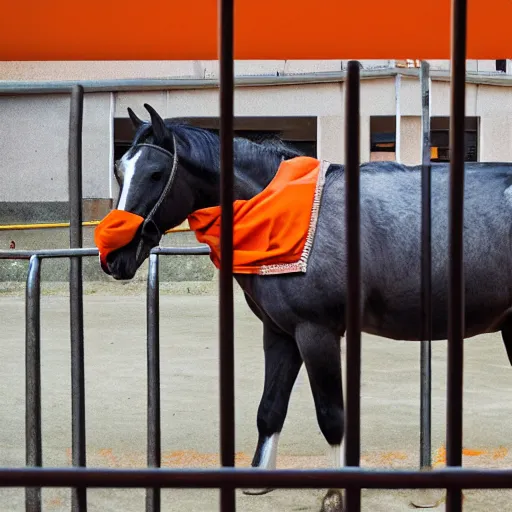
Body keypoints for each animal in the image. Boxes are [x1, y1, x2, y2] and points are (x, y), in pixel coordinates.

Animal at [99, 104, 512, 500]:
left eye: (155, 174)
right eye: (119, 170)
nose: (114, 256)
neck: (276, 210)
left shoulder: (317, 332)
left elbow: (332, 418)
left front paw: (335, 492)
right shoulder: (280, 332)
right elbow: (269, 410)